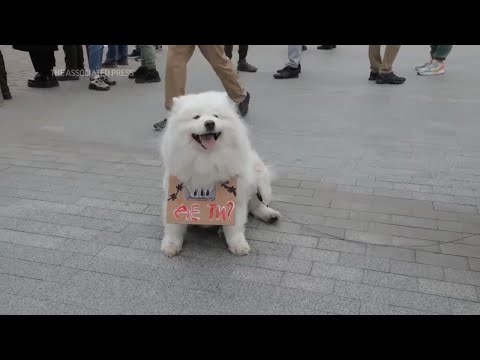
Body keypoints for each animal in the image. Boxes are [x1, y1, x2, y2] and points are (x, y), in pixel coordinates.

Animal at [160, 91, 282, 258]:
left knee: (257, 205)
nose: (210, 123)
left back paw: (270, 215)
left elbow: (235, 228)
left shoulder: (236, 197)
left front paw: (238, 246)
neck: (206, 159)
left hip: (260, 178)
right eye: (196, 117)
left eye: (216, 116)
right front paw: (171, 246)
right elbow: (173, 227)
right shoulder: (174, 194)